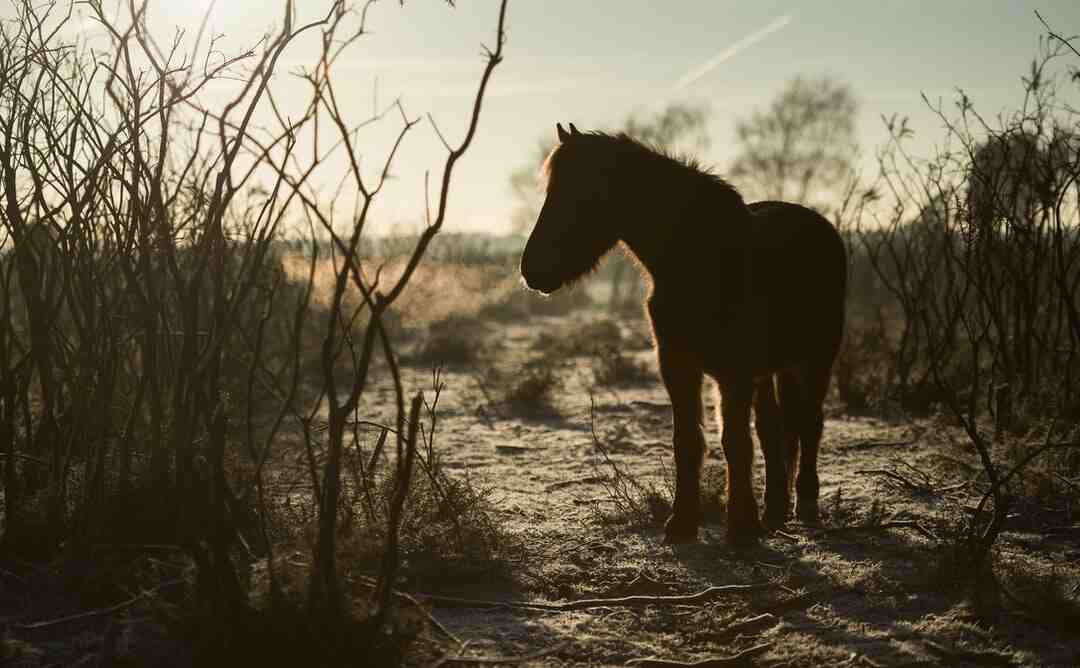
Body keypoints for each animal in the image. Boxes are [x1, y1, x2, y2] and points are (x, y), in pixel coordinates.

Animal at [520, 123, 846, 545]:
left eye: (582, 194)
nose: (531, 270)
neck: (699, 260)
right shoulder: (677, 365)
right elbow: (688, 441)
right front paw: (683, 522)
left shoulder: (733, 371)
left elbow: (734, 443)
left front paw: (741, 526)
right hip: (772, 370)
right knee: (774, 429)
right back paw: (775, 510)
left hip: (816, 359)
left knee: (810, 424)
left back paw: (805, 503)